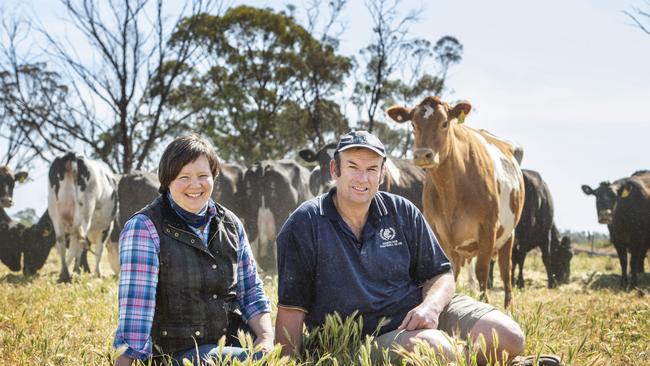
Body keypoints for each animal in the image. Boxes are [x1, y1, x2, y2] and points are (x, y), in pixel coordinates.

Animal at [49, 153, 119, 282]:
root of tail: (72, 155)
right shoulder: (107, 227)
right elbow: (99, 250)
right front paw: (97, 274)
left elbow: (71, 249)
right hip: (85, 210)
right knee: (81, 239)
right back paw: (76, 272)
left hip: (54, 210)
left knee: (61, 240)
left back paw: (65, 275)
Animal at [388, 96, 524, 308]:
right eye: (413, 124)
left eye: (444, 123)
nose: (423, 155)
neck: (451, 191)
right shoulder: (436, 231)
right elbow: (449, 270)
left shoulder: (488, 229)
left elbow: (482, 271)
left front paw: (484, 302)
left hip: (508, 234)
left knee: (505, 270)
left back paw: (508, 307)